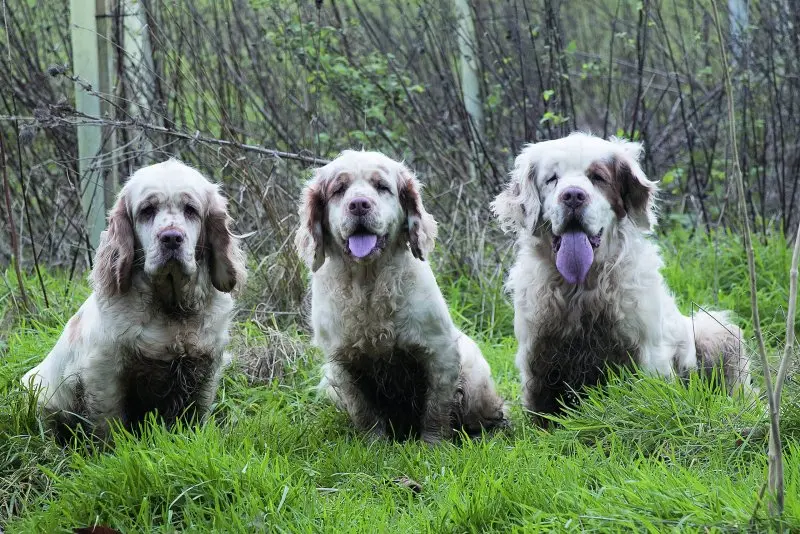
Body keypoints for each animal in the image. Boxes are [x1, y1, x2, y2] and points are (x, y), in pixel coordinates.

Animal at [22, 160, 247, 444]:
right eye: (147, 210)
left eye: (191, 210)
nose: (171, 237)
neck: (172, 311)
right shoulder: (104, 371)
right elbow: (109, 424)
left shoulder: (206, 369)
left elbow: (195, 415)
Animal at [294, 150, 506, 444]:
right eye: (339, 190)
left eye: (382, 186)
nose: (359, 205)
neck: (369, 284)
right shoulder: (341, 361)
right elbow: (364, 410)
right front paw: (375, 444)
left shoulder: (439, 351)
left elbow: (436, 408)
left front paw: (433, 445)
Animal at [490, 132, 752, 426]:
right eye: (552, 178)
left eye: (598, 177)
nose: (573, 196)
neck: (583, 288)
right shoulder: (538, 357)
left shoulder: (647, 354)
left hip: (715, 329)